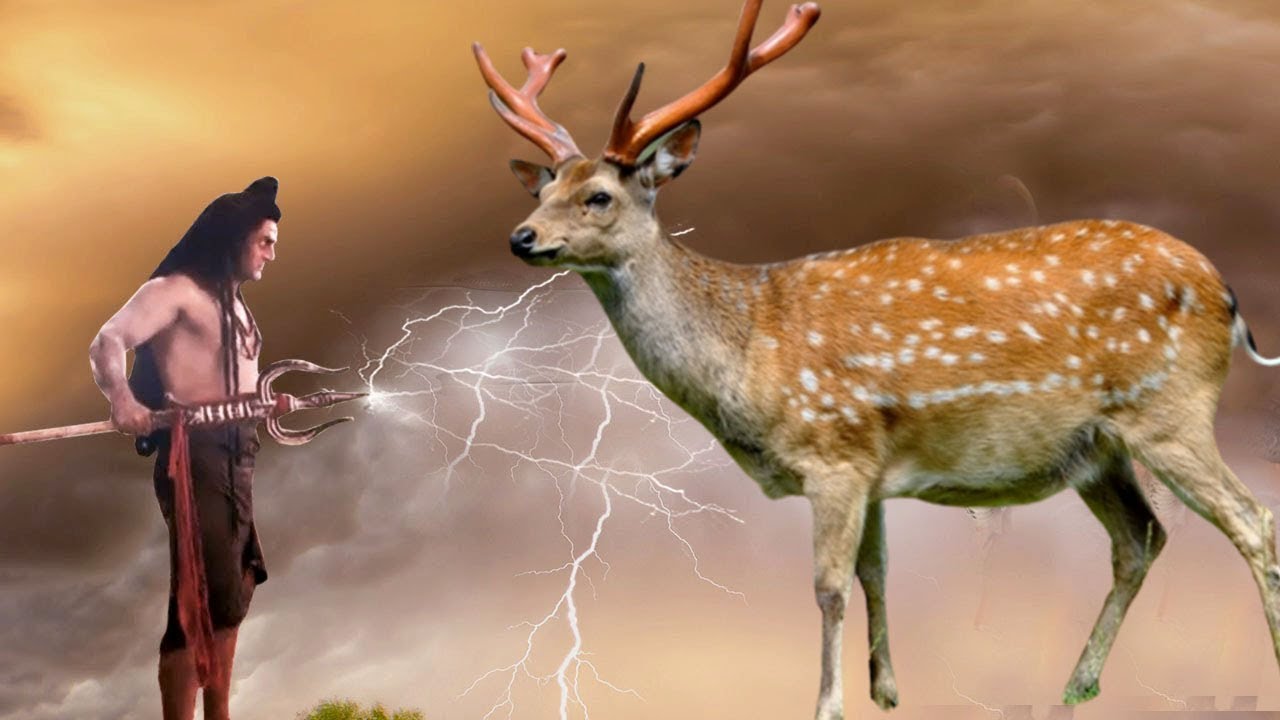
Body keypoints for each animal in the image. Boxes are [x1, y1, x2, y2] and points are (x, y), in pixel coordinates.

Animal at [472, 1, 1280, 717]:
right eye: (545, 185)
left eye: (600, 197)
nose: (520, 237)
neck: (748, 349)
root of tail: (1228, 294)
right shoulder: (871, 469)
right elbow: (877, 573)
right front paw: (887, 691)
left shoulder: (834, 450)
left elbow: (829, 586)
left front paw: (828, 705)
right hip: (1097, 448)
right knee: (1141, 538)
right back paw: (1077, 683)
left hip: (1169, 412)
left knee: (1253, 522)